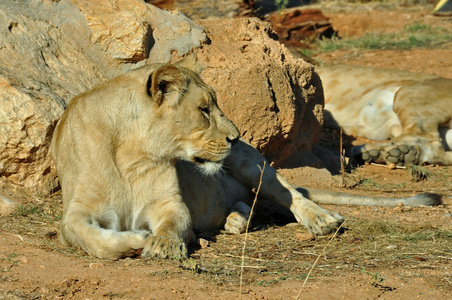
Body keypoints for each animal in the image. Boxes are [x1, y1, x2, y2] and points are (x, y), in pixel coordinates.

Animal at [51, 59, 440, 260]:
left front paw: (162, 243)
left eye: (214, 105)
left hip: (253, 165)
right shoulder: (76, 212)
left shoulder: (171, 204)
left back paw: (322, 220)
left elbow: (172, 224)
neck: (134, 153)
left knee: (290, 194)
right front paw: (137, 240)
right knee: (243, 204)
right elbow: (91, 238)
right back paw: (236, 221)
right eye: (204, 109)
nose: (235, 135)